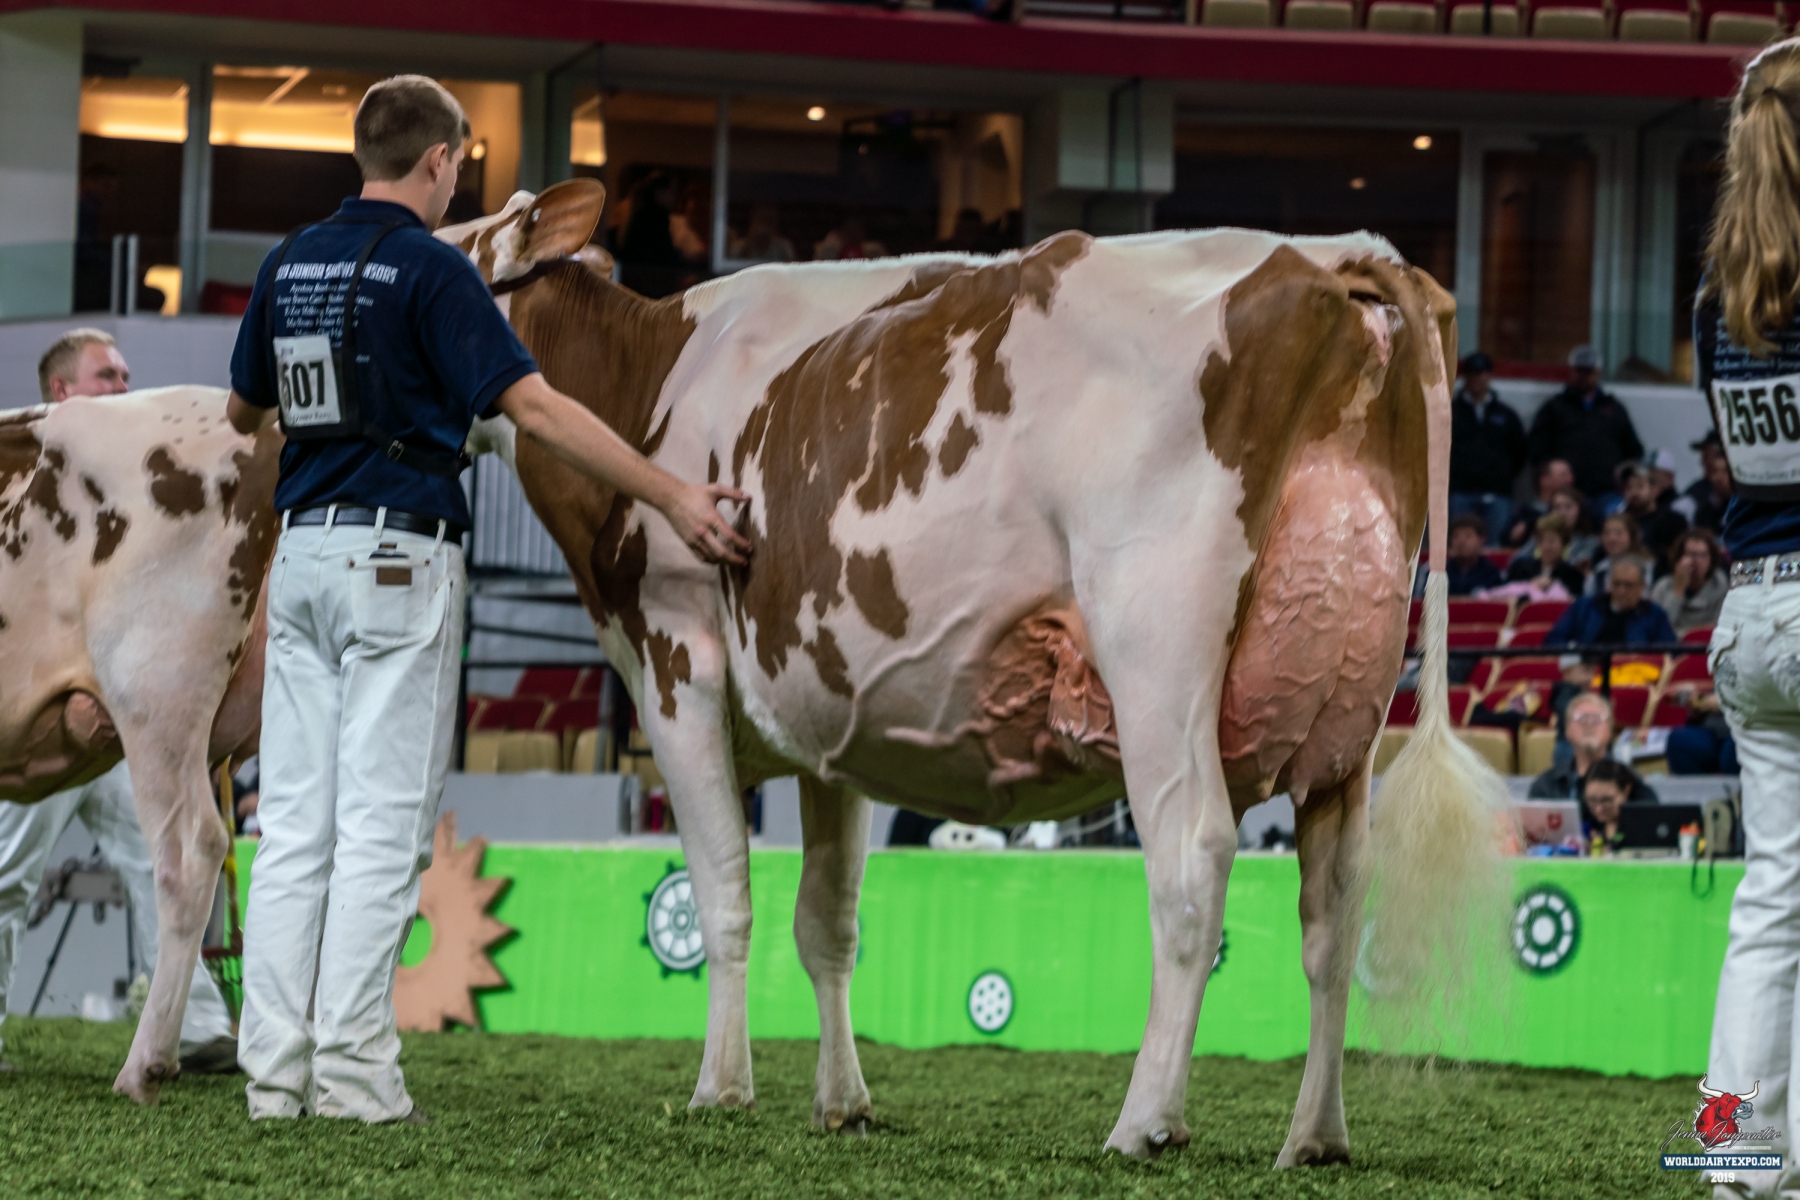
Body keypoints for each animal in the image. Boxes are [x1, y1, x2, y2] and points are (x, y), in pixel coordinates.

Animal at [444, 180, 1504, 1163]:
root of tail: (1334, 254)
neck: (646, 376)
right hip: (1347, 706)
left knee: (1192, 858)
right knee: (1335, 904)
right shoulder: (829, 716)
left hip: (1156, 646)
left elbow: (724, 897)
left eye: (444, 240)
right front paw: (844, 1103)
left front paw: (721, 1089)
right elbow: (827, 922)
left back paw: (1144, 1122)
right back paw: (1315, 1135)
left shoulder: (676, 664)